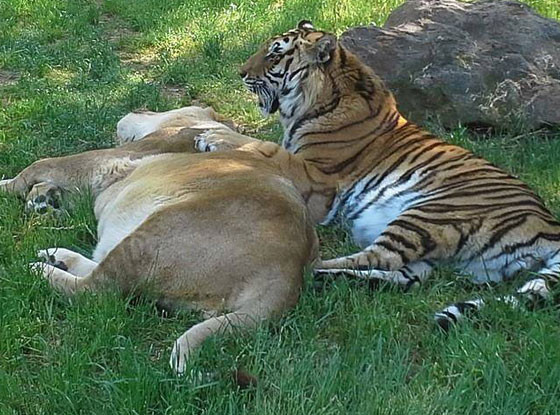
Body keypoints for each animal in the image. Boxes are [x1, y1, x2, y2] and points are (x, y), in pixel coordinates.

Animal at [195, 21, 560, 330]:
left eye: (275, 54)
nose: (241, 73)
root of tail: (550, 225)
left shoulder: (315, 175)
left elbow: (263, 147)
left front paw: (210, 136)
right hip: (437, 253)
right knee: (405, 275)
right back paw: (333, 279)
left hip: (430, 214)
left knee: (378, 257)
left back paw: (312, 270)